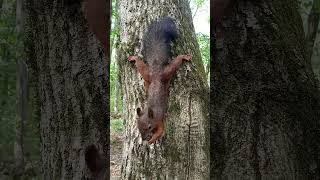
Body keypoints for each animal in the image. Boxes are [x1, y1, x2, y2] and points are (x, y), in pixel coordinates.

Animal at [128, 17, 192, 145]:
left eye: (149, 127)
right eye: (138, 126)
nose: (144, 138)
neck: (151, 114)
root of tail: (156, 68)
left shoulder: (159, 121)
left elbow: (161, 132)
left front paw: (152, 140)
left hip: (166, 72)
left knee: (176, 62)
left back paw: (184, 57)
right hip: (147, 74)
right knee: (140, 65)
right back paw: (134, 58)